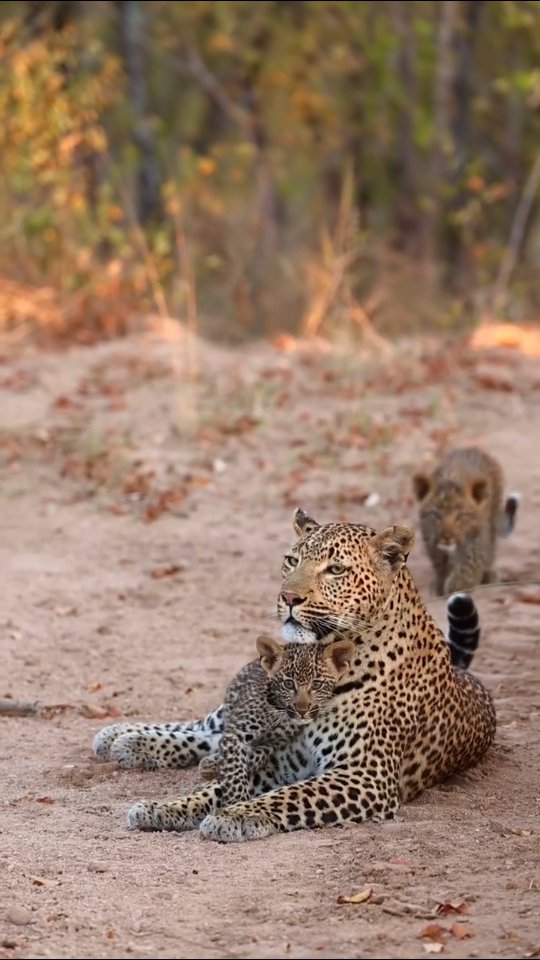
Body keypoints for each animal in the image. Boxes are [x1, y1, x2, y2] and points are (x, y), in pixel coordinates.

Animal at [197, 634, 354, 806]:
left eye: (317, 685)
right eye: (288, 684)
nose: (302, 710)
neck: (279, 712)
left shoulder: (276, 743)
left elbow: (257, 755)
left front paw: (215, 765)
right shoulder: (235, 735)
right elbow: (234, 771)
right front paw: (235, 801)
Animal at [412, 446, 519, 596]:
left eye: (460, 516)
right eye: (436, 515)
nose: (447, 537)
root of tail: (471, 448)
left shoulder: (477, 536)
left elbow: (471, 561)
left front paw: (459, 584)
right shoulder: (431, 540)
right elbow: (440, 564)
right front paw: (440, 585)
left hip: (492, 521)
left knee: (491, 548)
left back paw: (489, 575)